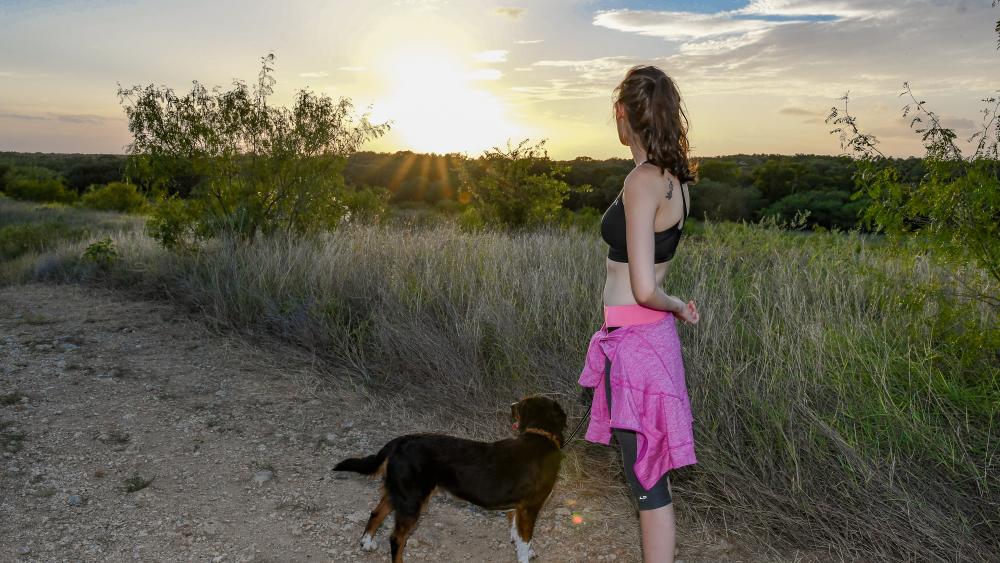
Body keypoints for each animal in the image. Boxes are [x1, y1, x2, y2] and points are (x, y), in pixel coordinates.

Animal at [332, 396, 568, 563]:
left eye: (522, 404)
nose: (511, 404)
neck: (540, 436)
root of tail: (399, 441)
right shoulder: (530, 508)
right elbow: (524, 541)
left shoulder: (518, 508)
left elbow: (518, 536)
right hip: (412, 500)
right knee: (396, 538)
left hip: (399, 492)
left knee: (376, 513)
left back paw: (366, 543)